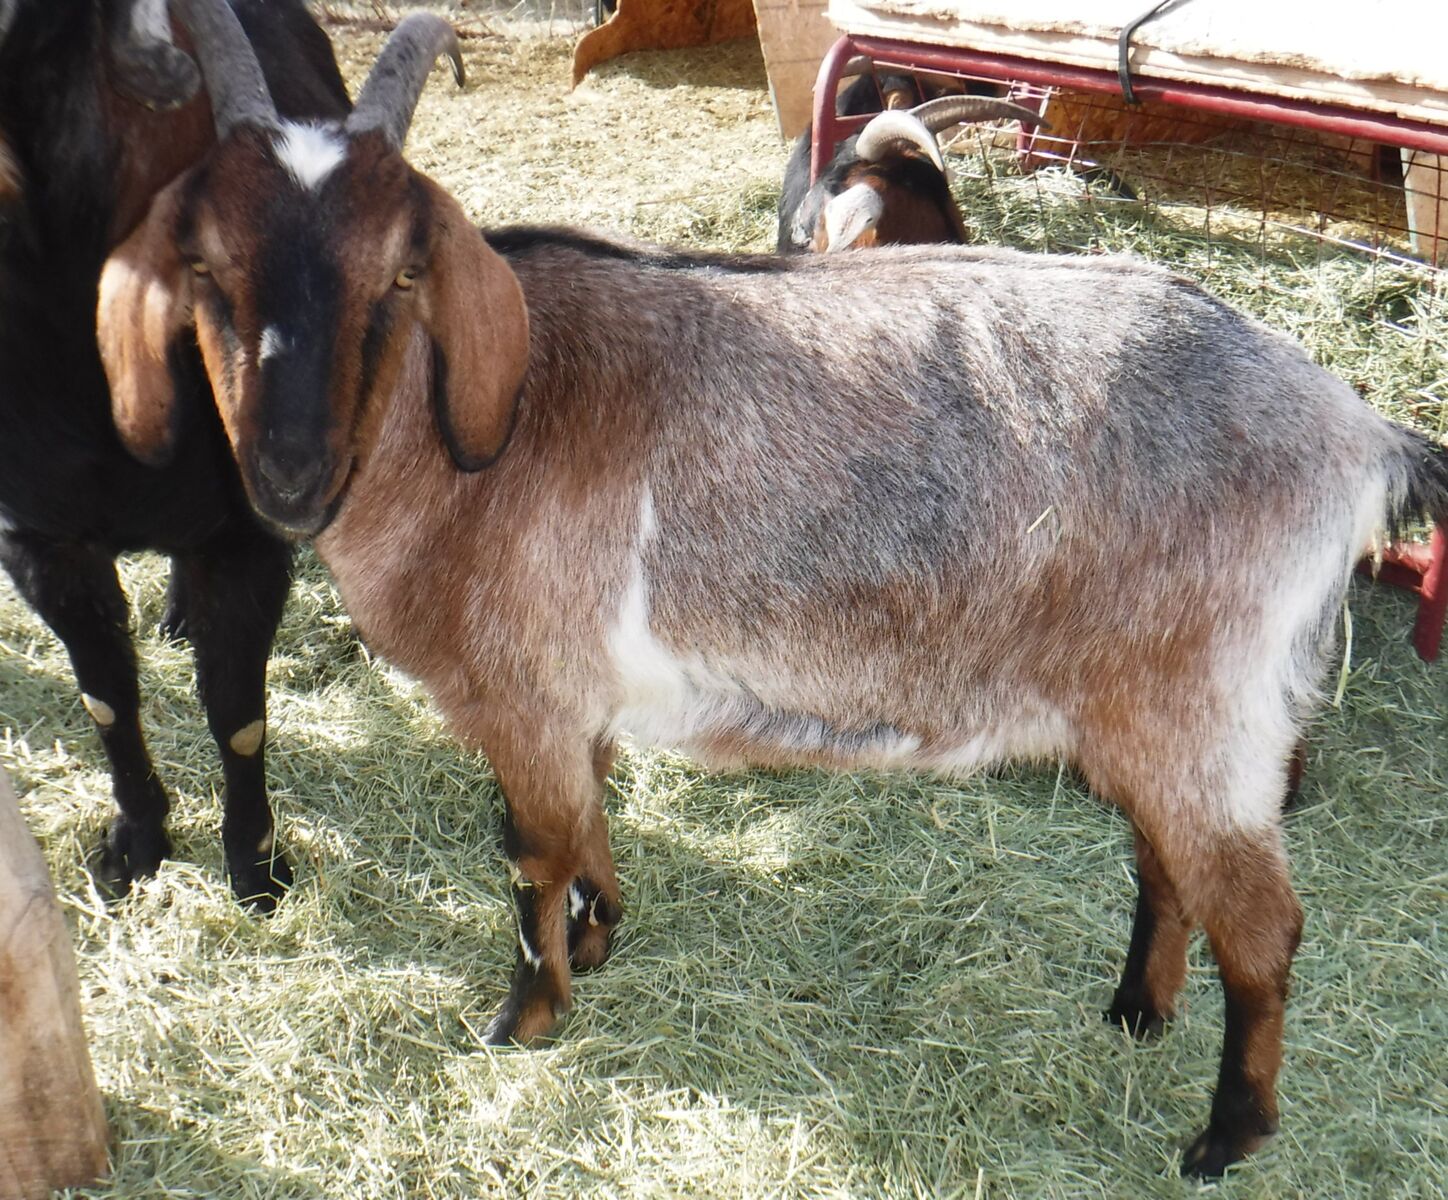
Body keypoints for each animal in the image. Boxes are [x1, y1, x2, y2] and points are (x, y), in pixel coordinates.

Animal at [0, 0, 348, 908]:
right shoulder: (39, 541)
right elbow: (105, 700)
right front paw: (136, 842)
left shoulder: (247, 537)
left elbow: (238, 713)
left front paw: (255, 867)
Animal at [98, 2, 1448, 1177]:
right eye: (206, 264)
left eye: (398, 272)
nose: (287, 471)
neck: (476, 431)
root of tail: (1358, 434)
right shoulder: (577, 705)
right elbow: (590, 823)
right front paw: (601, 933)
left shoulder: (522, 700)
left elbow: (532, 849)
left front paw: (525, 1015)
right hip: (1146, 721)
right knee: (1164, 869)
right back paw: (1133, 1012)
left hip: (1205, 714)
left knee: (1262, 927)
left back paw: (1226, 1135)